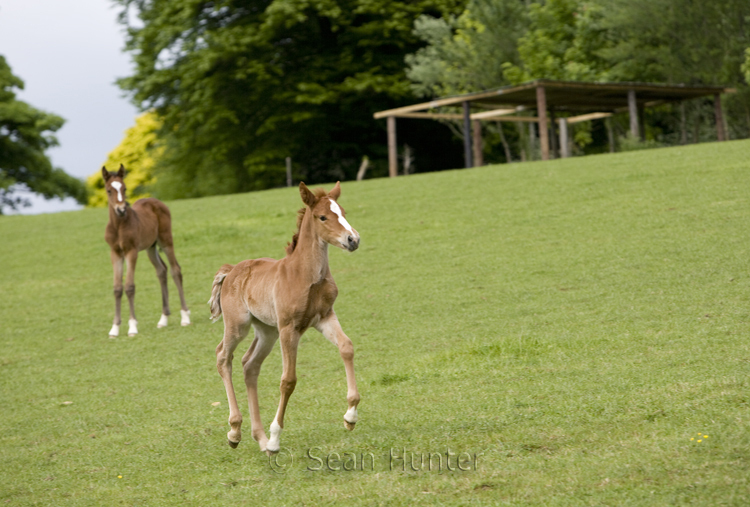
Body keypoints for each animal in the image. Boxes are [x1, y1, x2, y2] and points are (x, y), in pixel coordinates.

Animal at [102, 165, 191, 338]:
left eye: (124, 188)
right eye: (109, 190)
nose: (121, 209)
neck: (119, 225)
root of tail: (156, 201)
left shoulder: (131, 251)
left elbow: (129, 286)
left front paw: (132, 327)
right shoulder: (115, 253)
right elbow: (117, 288)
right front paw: (114, 328)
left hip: (165, 240)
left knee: (175, 270)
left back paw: (185, 316)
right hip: (151, 247)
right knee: (161, 270)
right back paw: (163, 319)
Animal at [209, 182, 362, 452]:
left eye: (342, 211)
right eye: (322, 217)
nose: (352, 239)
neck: (305, 275)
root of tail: (231, 270)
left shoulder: (324, 317)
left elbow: (346, 347)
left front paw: (350, 416)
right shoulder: (290, 328)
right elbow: (288, 380)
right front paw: (275, 438)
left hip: (267, 330)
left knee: (250, 365)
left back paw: (259, 437)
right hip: (238, 325)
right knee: (223, 357)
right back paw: (235, 432)